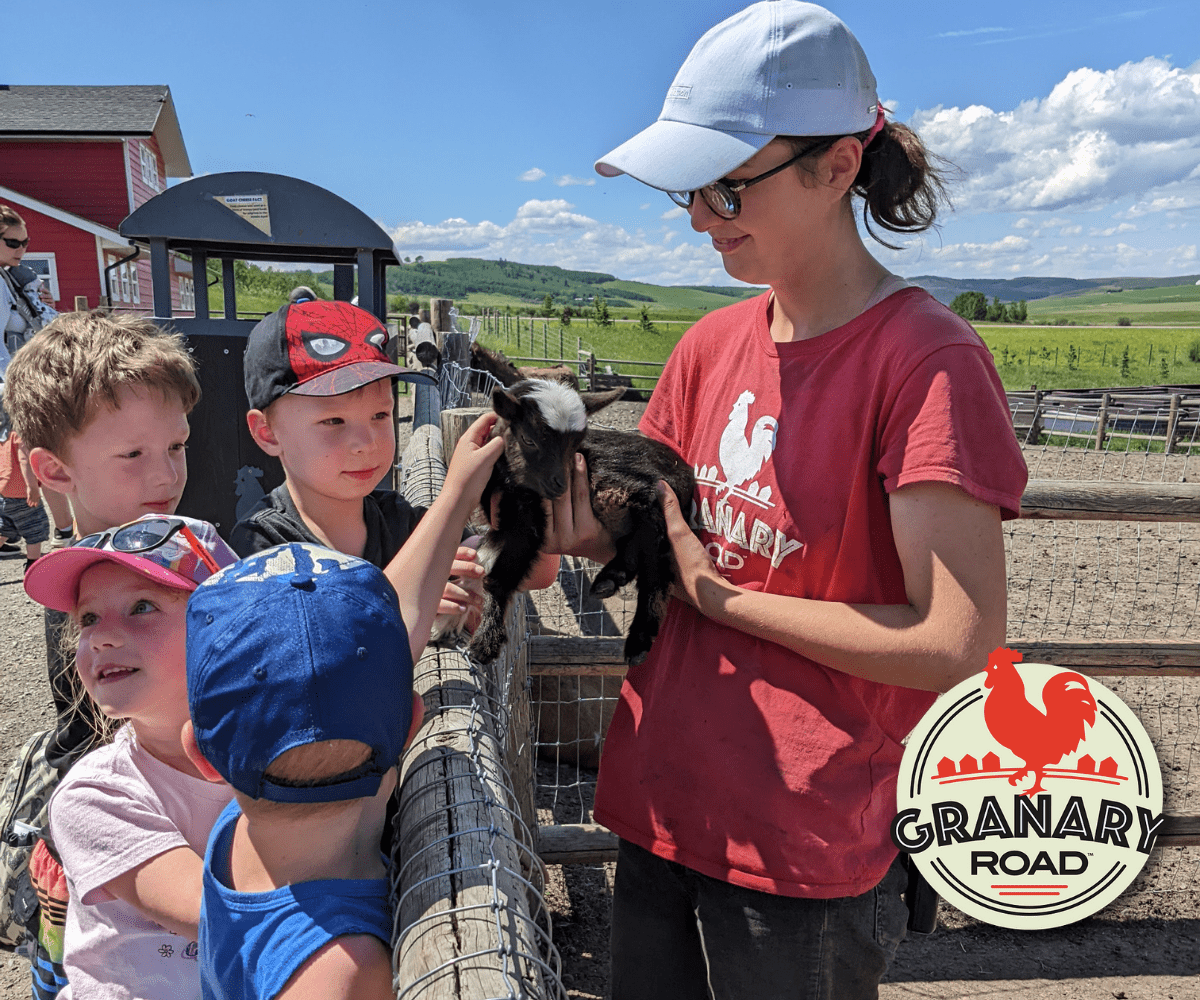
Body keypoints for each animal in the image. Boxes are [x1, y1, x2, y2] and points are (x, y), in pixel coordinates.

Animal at [468, 379, 696, 667]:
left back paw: (639, 641)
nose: (561, 485)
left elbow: (501, 575)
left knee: (656, 567)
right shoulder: (509, 520)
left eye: (576, 444)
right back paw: (612, 577)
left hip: (630, 494)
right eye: (528, 439)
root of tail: (686, 472)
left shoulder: (527, 520)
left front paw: (486, 641)